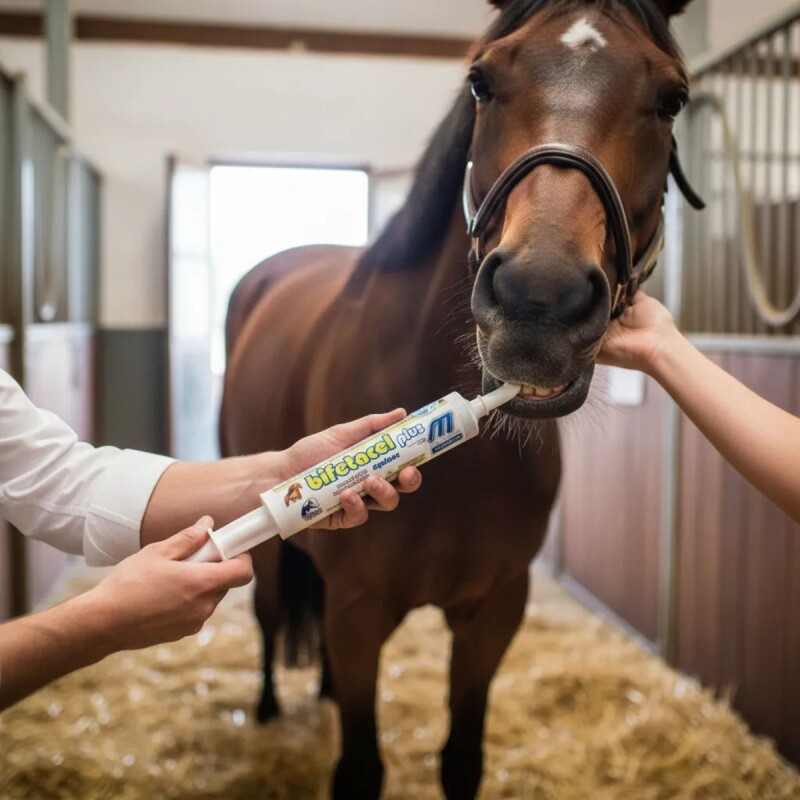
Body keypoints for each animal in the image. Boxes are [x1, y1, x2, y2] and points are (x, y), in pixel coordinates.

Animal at [220, 1, 700, 797]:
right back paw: (262, 710)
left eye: (671, 99)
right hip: (265, 544)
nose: (539, 303)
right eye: (481, 81)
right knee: (266, 615)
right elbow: (360, 768)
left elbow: (462, 760)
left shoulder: (493, 613)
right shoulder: (359, 613)